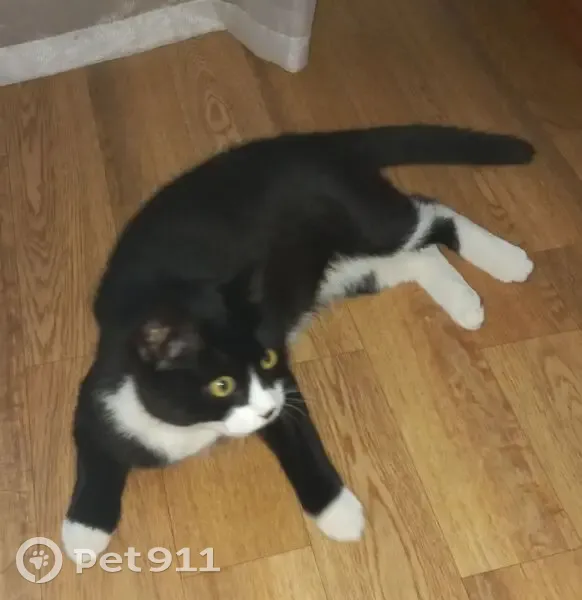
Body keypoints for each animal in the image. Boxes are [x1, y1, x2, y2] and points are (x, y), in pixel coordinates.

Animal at [61, 124, 535, 562]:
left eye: (269, 358)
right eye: (222, 385)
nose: (266, 409)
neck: (194, 427)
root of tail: (307, 142)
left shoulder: (281, 387)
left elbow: (299, 441)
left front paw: (339, 513)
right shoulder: (102, 389)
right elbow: (94, 451)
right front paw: (84, 530)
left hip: (363, 220)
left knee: (429, 213)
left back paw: (508, 260)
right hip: (342, 271)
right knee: (416, 256)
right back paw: (465, 303)